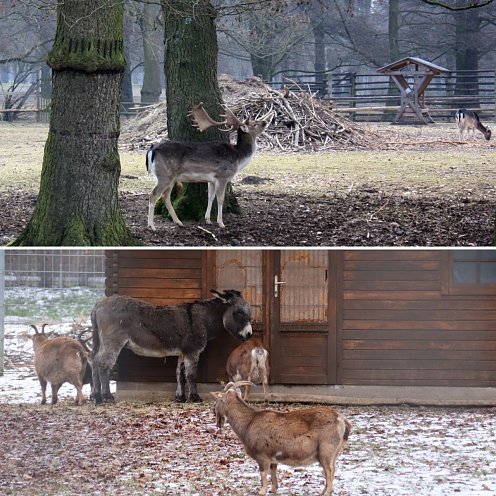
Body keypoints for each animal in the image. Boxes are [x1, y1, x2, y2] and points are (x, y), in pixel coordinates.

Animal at [145, 104, 274, 231]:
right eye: (254, 124)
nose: (265, 122)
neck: (238, 158)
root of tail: (152, 149)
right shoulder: (222, 176)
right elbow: (220, 198)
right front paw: (221, 223)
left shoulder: (211, 180)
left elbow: (210, 197)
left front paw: (208, 219)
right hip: (164, 174)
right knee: (153, 194)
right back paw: (152, 226)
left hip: (171, 177)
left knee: (165, 196)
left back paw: (179, 222)